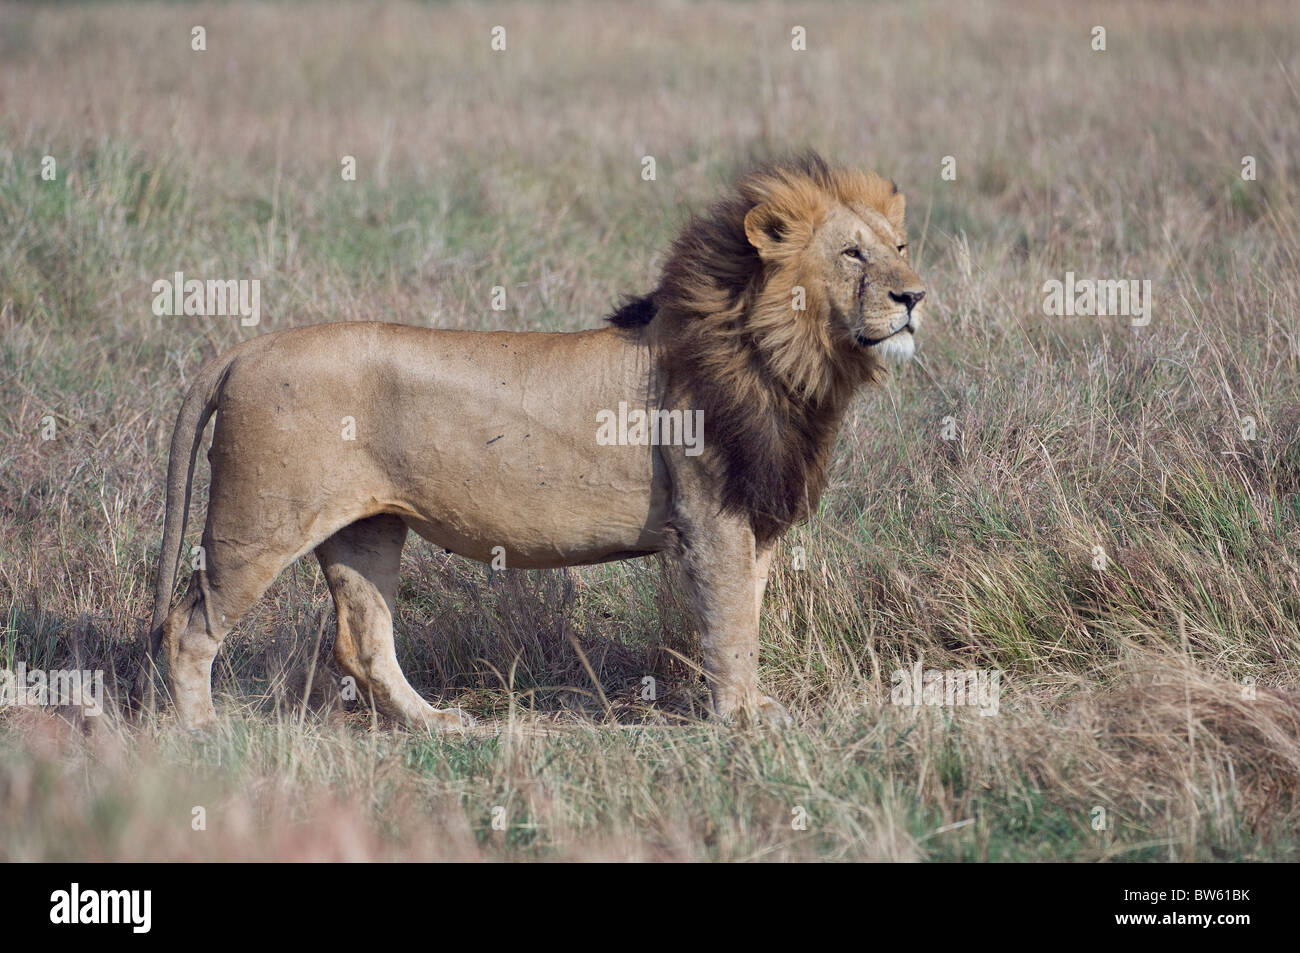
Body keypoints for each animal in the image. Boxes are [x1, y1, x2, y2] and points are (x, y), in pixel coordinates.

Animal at [136, 152, 926, 730]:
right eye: (852, 255)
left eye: (900, 247)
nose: (915, 296)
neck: (790, 362)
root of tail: (244, 349)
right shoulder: (713, 516)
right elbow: (731, 625)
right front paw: (742, 722)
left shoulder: (755, 516)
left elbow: (750, 614)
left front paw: (756, 707)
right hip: (256, 524)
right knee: (187, 626)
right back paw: (203, 733)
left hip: (365, 528)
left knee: (363, 639)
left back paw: (436, 725)